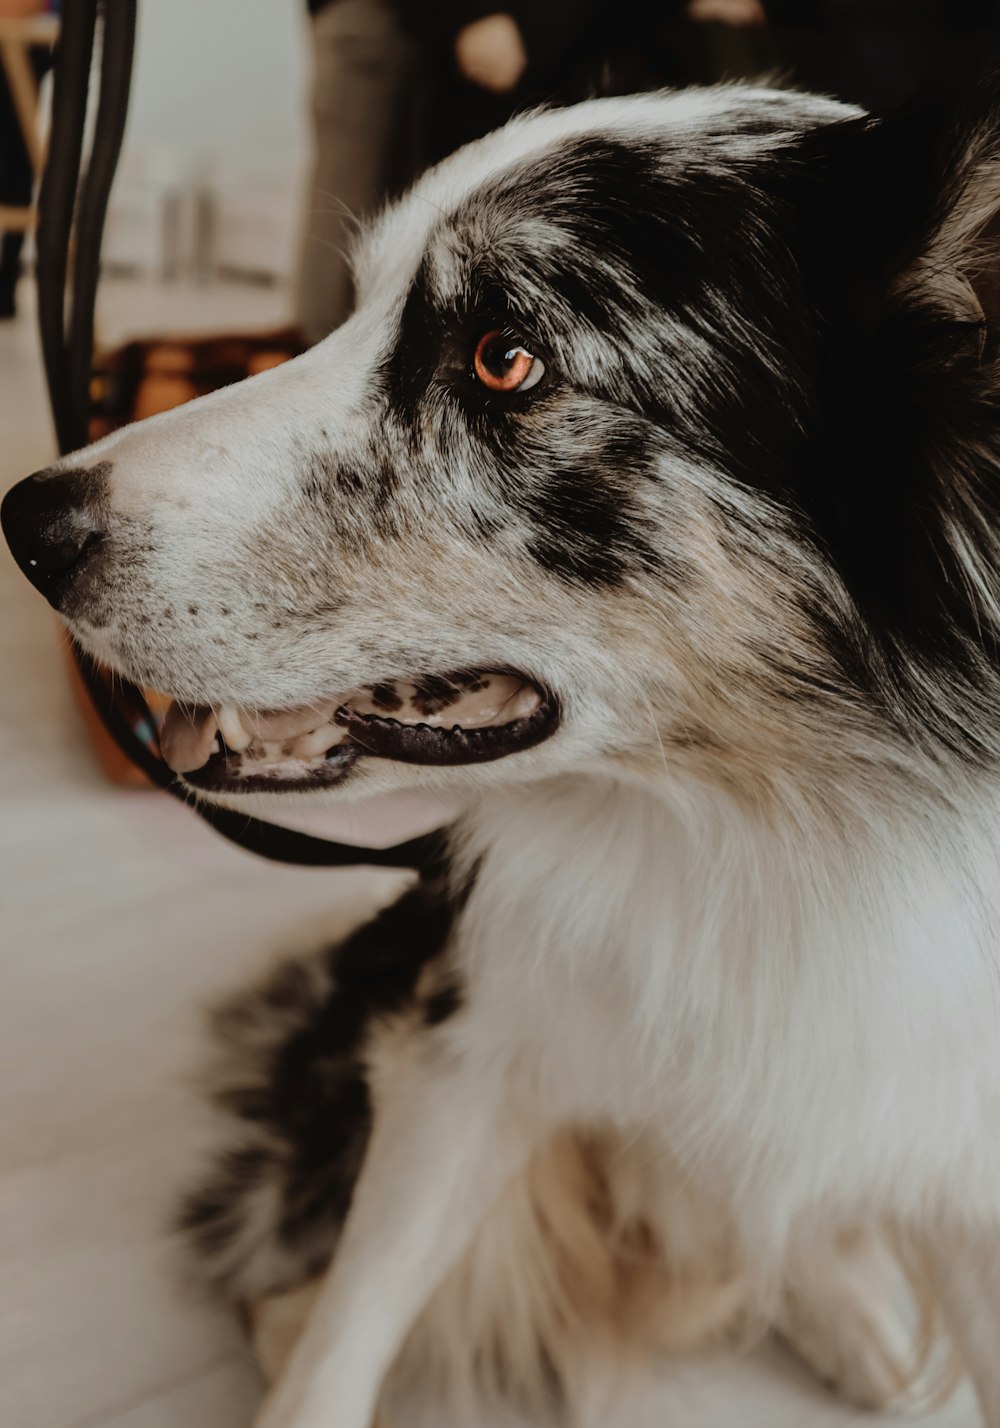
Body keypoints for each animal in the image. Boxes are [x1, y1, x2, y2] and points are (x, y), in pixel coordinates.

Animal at [5, 78, 1000, 1428]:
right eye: (356, 309)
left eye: (505, 356)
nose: (26, 524)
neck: (767, 838)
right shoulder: (462, 1043)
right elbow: (336, 1346)